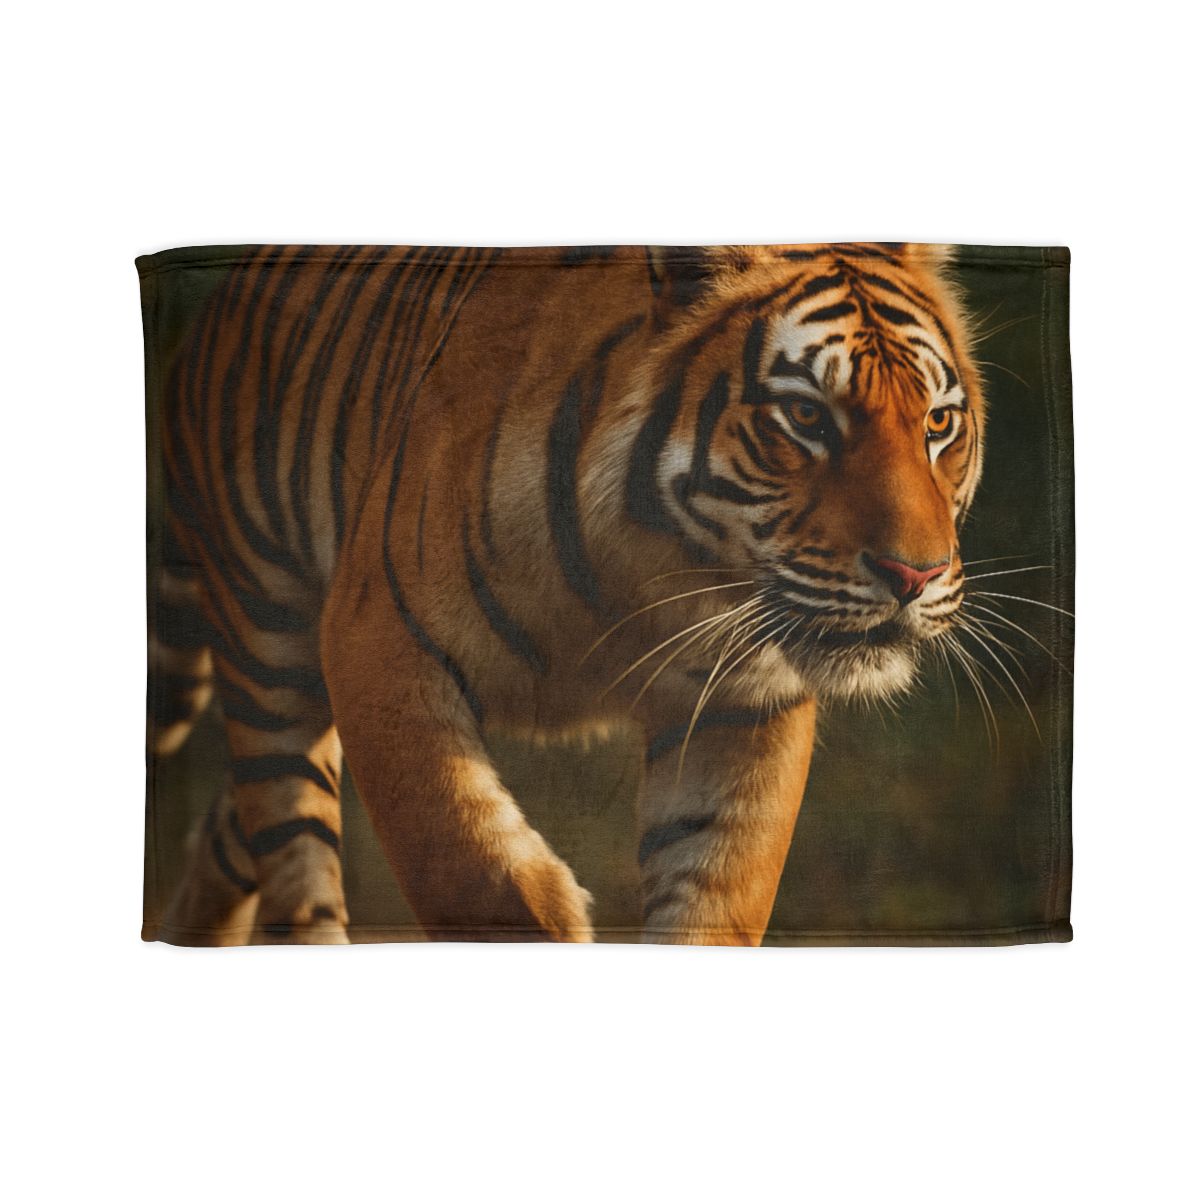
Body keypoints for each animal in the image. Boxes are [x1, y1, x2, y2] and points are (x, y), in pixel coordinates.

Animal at [143, 242, 982, 946]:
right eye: (806, 415)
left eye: (939, 423)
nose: (915, 575)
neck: (653, 575)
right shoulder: (379, 641)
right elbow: (468, 863)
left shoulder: (747, 700)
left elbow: (715, 895)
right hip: (267, 638)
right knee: (290, 848)